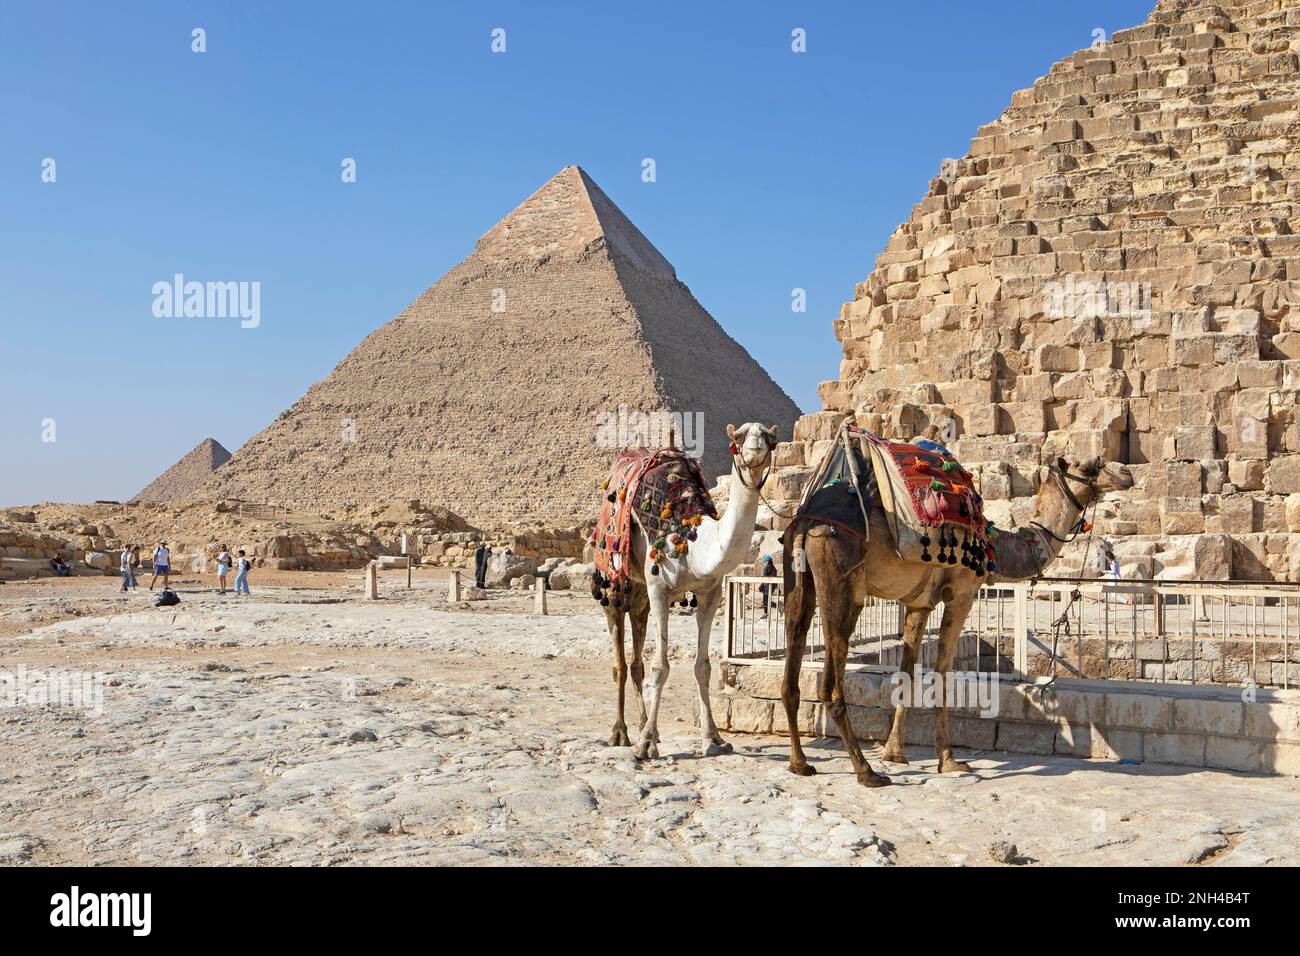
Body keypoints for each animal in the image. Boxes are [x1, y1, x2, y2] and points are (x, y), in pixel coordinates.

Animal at [595, 421, 769, 759]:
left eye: (770, 437)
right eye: (738, 438)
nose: (756, 449)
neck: (693, 535)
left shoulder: (711, 593)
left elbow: (703, 667)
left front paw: (714, 738)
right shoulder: (659, 587)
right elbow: (660, 667)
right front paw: (643, 746)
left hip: (639, 596)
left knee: (635, 661)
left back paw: (649, 729)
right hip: (614, 582)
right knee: (620, 662)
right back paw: (621, 734)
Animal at [780, 455, 1128, 785]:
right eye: (1088, 466)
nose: (1126, 474)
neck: (994, 545)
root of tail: (807, 522)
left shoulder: (919, 603)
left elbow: (907, 673)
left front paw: (895, 753)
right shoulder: (962, 592)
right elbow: (943, 673)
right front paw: (948, 760)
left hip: (797, 578)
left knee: (794, 651)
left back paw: (800, 763)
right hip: (841, 579)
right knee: (831, 681)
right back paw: (866, 772)